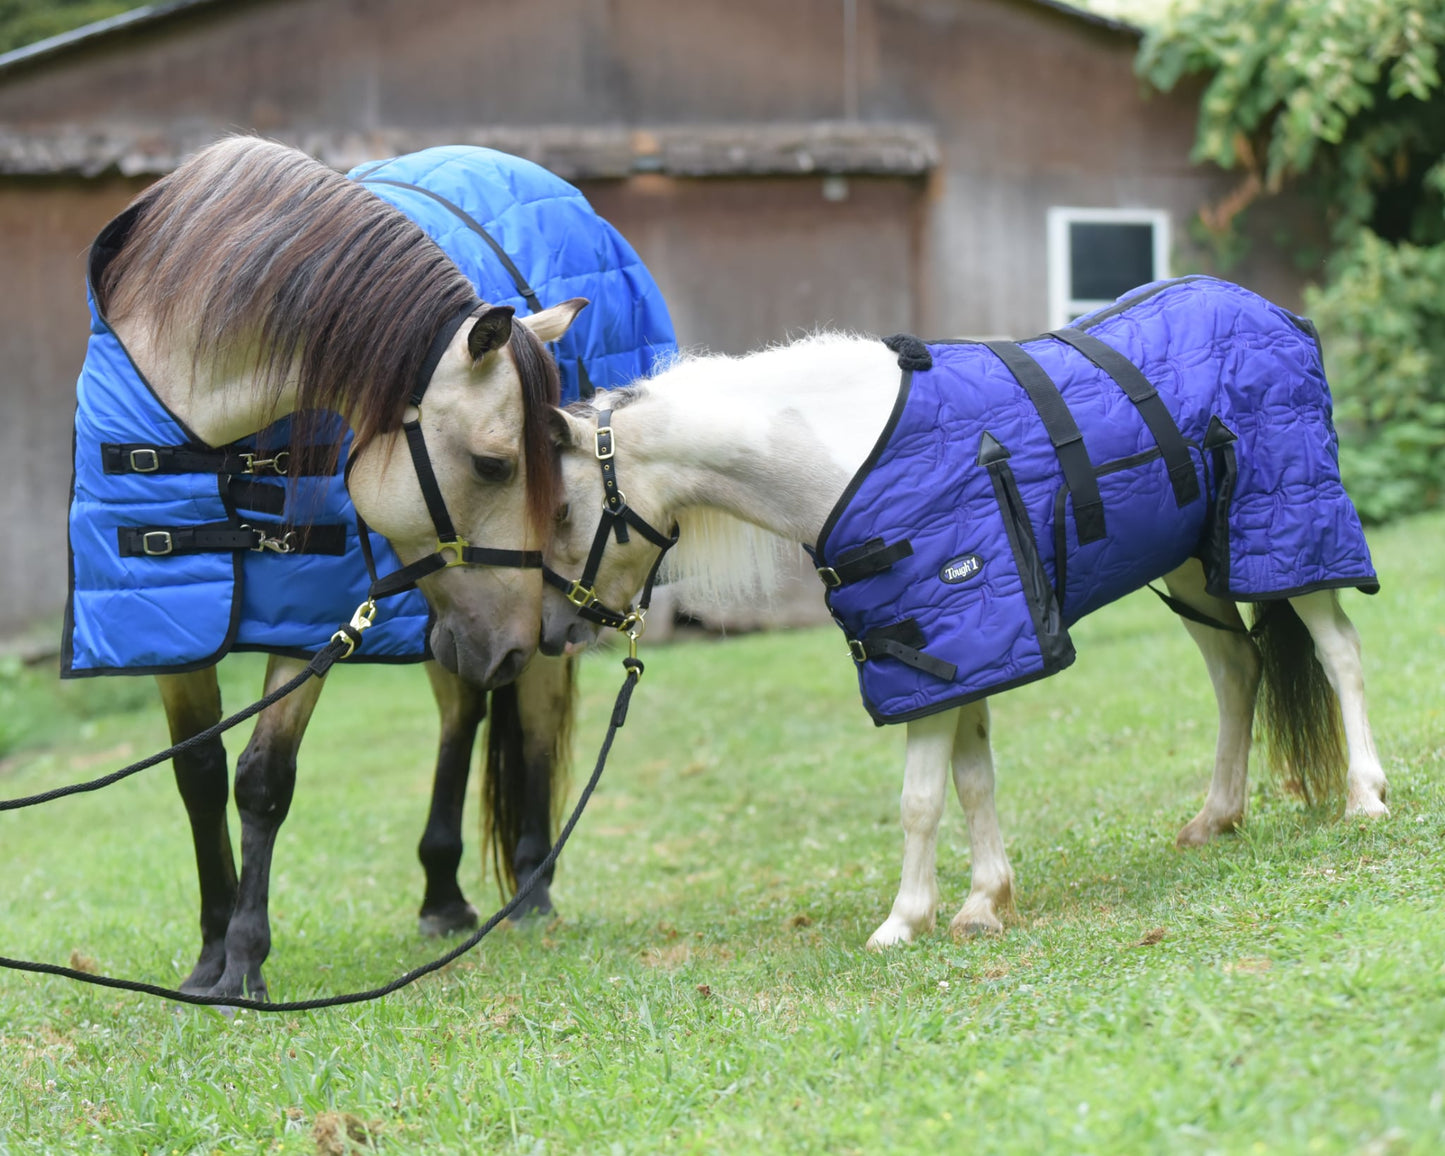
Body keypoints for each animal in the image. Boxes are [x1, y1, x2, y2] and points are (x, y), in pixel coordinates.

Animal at [60, 137, 676, 999]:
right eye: (492, 465)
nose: (511, 643)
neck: (208, 424)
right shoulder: (161, 621)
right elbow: (199, 776)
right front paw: (209, 955)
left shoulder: (311, 620)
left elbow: (263, 779)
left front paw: (244, 964)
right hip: (446, 612)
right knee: (466, 710)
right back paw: (443, 892)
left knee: (531, 714)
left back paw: (528, 890)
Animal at [537, 275, 1391, 949]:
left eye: (560, 511)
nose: (553, 633)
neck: (848, 458)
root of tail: (1272, 311)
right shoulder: (957, 653)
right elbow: (973, 778)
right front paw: (984, 902)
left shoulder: (940, 650)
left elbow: (920, 798)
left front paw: (902, 921)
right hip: (1187, 566)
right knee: (1237, 671)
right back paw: (1215, 817)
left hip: (1292, 542)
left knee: (1341, 652)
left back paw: (1364, 797)